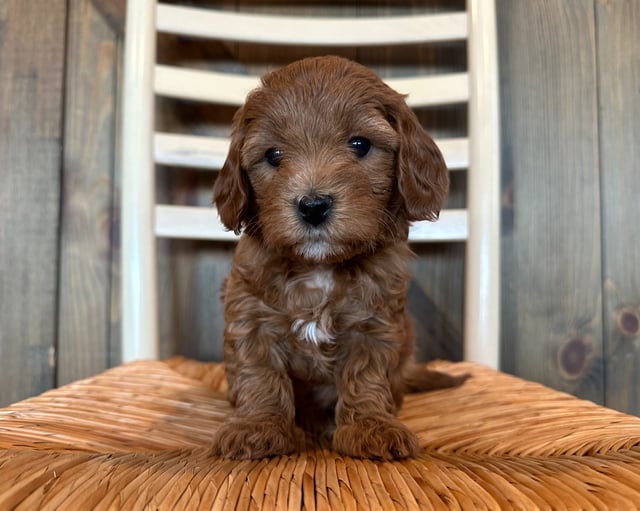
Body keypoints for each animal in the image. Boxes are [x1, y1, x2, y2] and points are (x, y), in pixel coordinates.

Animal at [212, 54, 468, 462]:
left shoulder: (375, 325)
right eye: (273, 155)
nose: (313, 205)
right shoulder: (250, 315)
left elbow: (366, 377)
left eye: (360, 144)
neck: (319, 267)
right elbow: (258, 373)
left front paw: (370, 427)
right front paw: (256, 427)